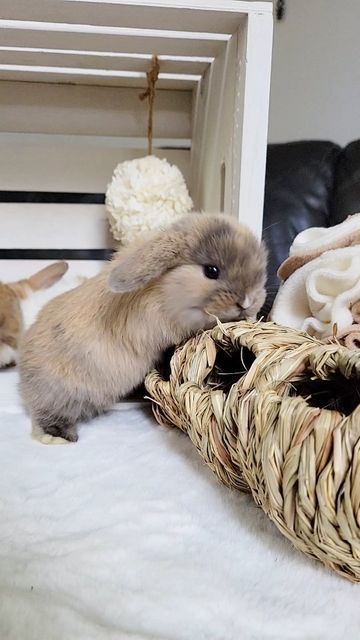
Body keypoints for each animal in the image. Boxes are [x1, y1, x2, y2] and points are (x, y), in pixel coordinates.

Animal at [19, 212, 268, 442]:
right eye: (211, 271)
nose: (248, 301)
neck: (163, 290)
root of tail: (24, 375)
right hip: (61, 393)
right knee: (45, 412)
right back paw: (59, 435)